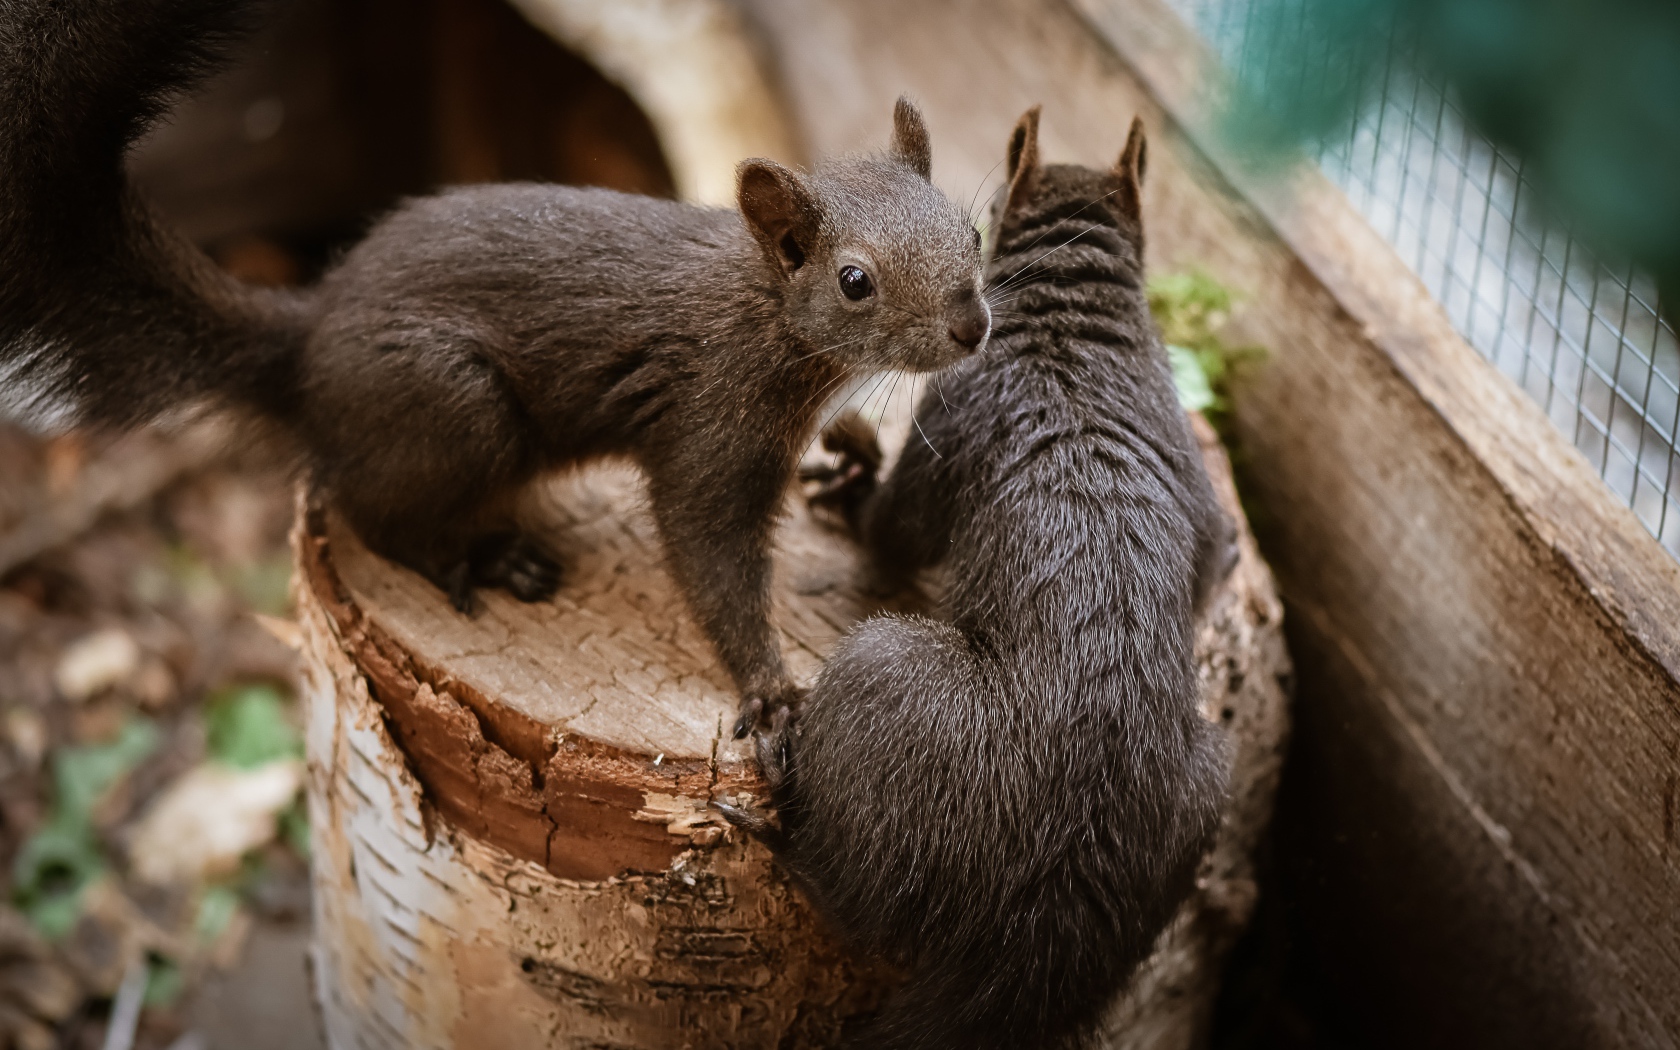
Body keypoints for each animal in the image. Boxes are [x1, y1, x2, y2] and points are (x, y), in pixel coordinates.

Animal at [0, 0, 987, 729]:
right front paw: (771, 690)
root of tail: (307, 342)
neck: (769, 315)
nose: (973, 325)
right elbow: (711, 558)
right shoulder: (710, 422)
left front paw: (854, 443)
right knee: (369, 511)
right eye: (854, 281)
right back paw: (481, 559)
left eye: (970, 229)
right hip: (455, 406)